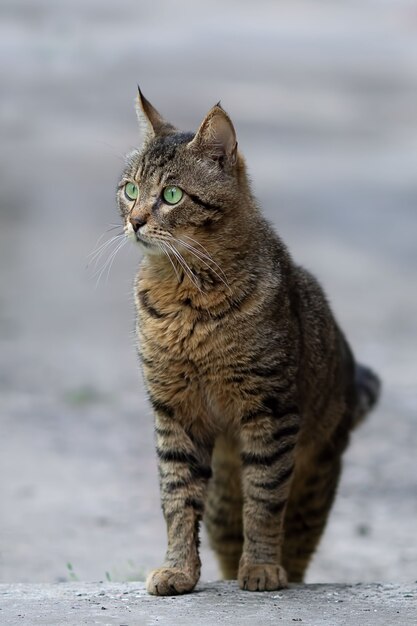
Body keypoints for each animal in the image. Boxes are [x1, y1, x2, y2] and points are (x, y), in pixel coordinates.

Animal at [115, 89, 378, 596]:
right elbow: (177, 501)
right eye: (130, 190)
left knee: (294, 541)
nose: (135, 221)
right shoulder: (174, 411)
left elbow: (264, 503)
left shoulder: (270, 413)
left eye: (171, 195)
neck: (186, 298)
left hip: (314, 484)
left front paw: (260, 568)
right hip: (222, 499)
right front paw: (178, 569)